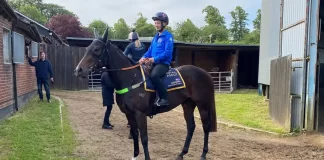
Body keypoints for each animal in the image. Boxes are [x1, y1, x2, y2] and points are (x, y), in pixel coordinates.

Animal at [73, 28, 218, 159]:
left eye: (97, 49)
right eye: (87, 48)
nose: (78, 70)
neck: (131, 78)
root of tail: (205, 73)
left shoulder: (140, 114)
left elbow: (144, 138)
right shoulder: (129, 114)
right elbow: (135, 135)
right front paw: (135, 155)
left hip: (202, 106)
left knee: (205, 127)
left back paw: (203, 154)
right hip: (187, 105)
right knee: (191, 127)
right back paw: (182, 153)